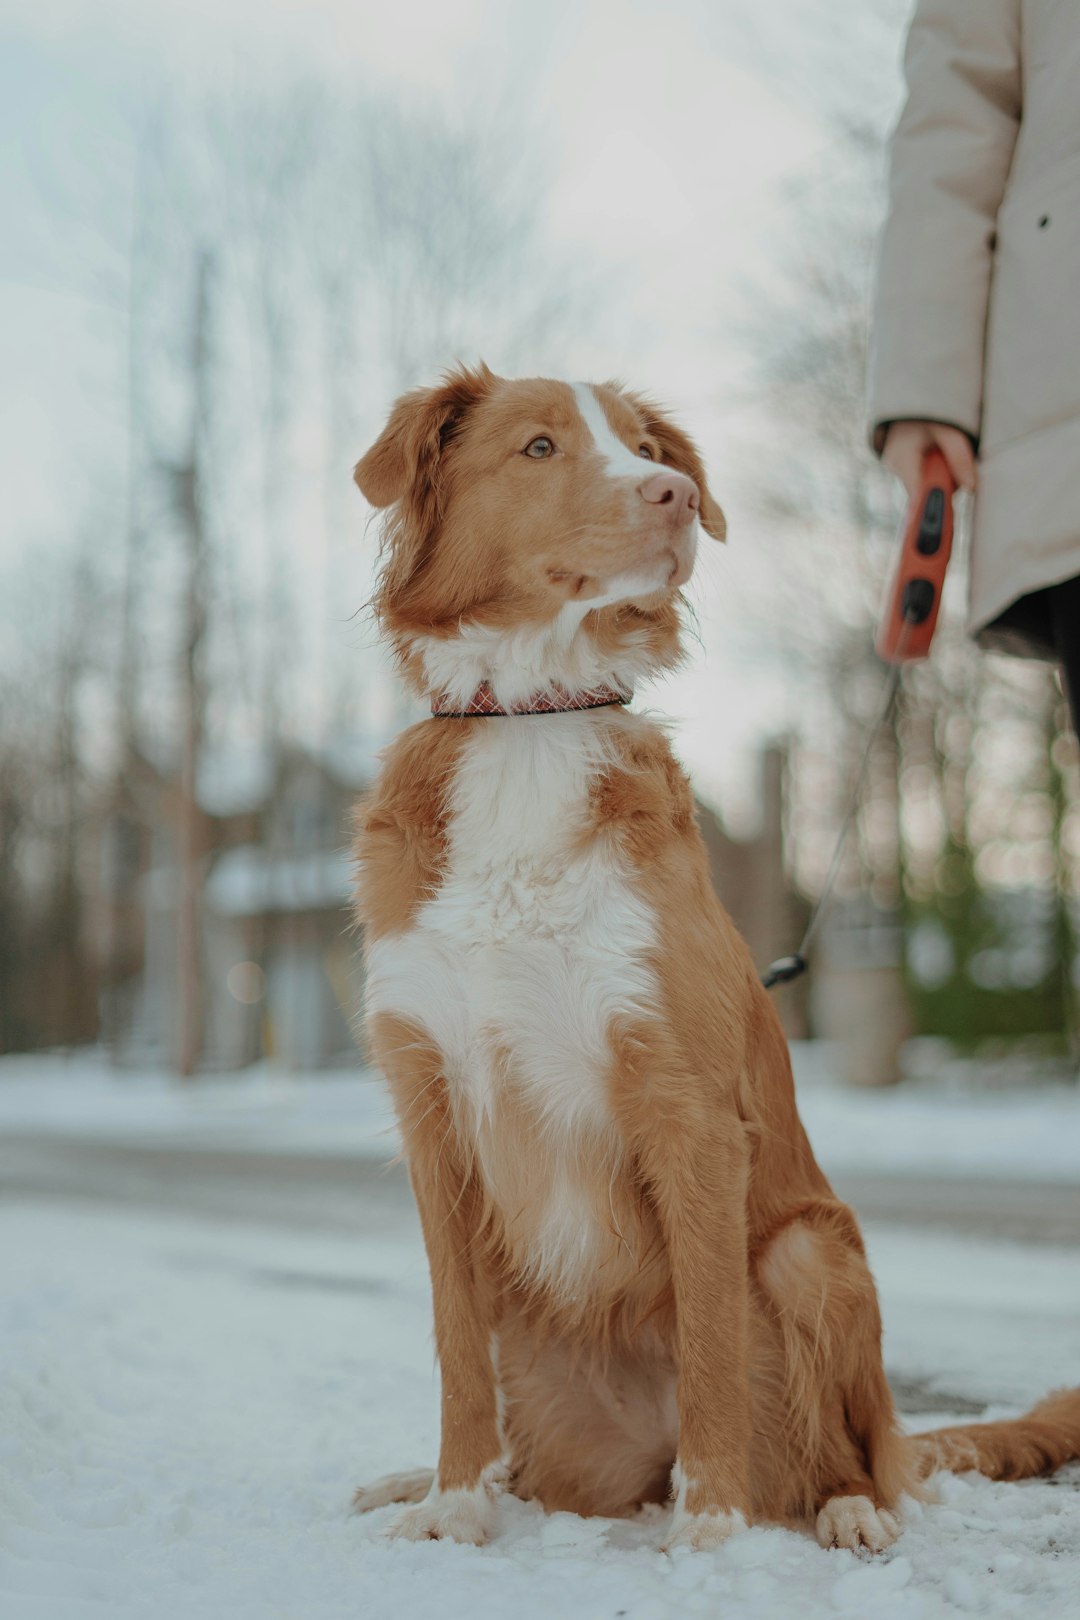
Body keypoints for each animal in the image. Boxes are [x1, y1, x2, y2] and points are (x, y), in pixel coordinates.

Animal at [351, 367, 1075, 1555]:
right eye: (539, 446)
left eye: (646, 449)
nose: (677, 495)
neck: (529, 727)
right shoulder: (431, 1107)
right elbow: (456, 1344)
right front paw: (453, 1504)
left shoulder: (685, 1103)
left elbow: (712, 1348)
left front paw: (712, 1534)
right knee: (532, 1447)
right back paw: (432, 1482)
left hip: (814, 1251)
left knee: (862, 1453)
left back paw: (847, 1512)